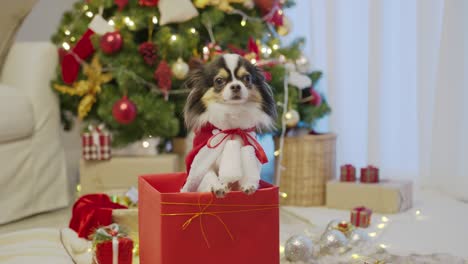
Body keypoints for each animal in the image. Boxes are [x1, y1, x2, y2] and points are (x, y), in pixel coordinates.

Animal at [182, 53, 278, 196]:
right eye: (219, 80)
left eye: (247, 78)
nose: (236, 86)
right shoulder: (201, 160)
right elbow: (207, 176)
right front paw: (217, 187)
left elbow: (250, 174)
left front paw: (249, 186)